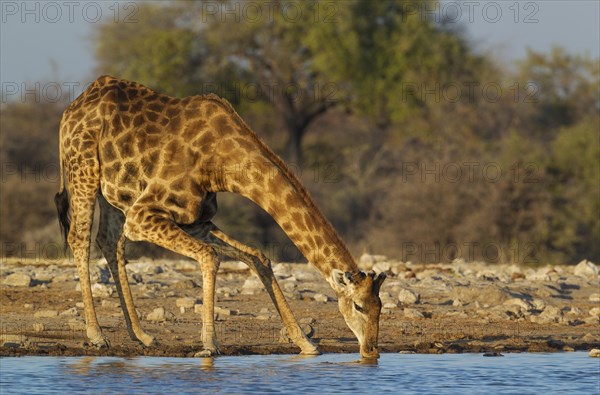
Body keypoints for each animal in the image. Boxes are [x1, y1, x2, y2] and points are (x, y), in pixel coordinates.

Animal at [54, 75, 386, 358]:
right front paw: (209, 346)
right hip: (83, 171)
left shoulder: (196, 219)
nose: (371, 351)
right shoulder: (142, 214)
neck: (224, 164)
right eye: (358, 306)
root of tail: (70, 110)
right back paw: (97, 335)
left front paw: (305, 343)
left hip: (113, 191)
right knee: (80, 238)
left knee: (109, 241)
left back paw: (142, 335)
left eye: (380, 307)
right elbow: (211, 256)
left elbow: (257, 257)